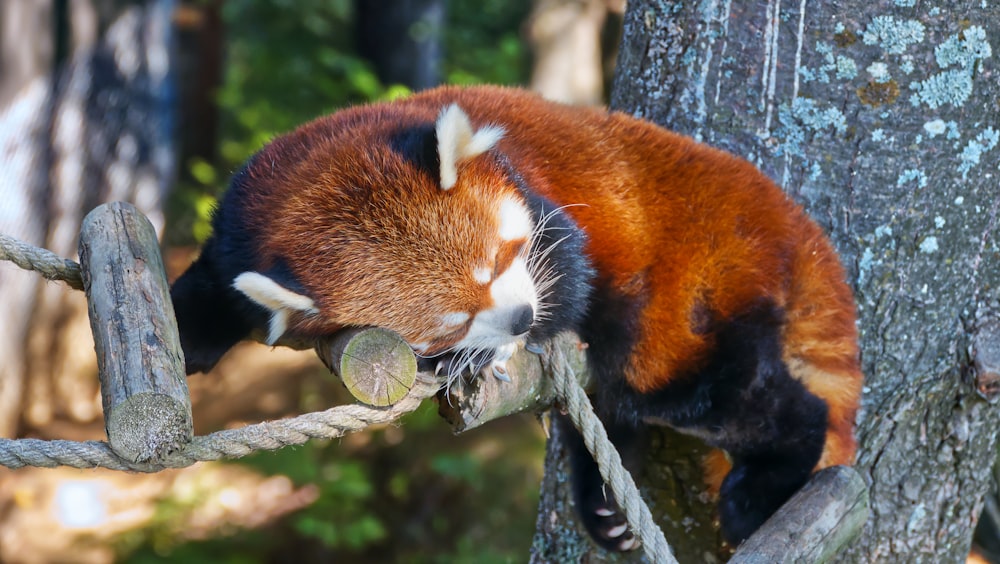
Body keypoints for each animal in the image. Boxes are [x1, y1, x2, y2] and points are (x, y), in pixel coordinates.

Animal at [170, 85, 860, 552]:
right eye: (447, 323)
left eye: (502, 256)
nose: (524, 317)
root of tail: (779, 215)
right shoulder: (245, 220)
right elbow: (216, 284)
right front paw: (187, 334)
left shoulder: (540, 193)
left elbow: (571, 274)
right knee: (615, 410)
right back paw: (606, 506)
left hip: (689, 300)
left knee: (719, 396)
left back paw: (762, 486)